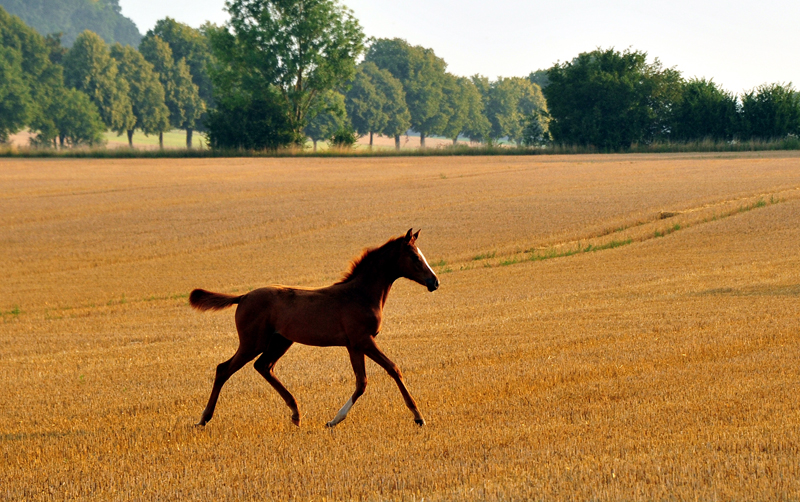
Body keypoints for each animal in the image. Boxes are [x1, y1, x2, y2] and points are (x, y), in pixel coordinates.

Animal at [189, 230, 438, 428]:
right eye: (415, 257)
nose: (434, 282)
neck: (360, 294)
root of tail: (243, 297)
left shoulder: (354, 345)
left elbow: (361, 382)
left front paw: (333, 420)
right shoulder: (363, 340)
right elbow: (392, 369)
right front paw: (419, 416)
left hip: (280, 341)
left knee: (263, 366)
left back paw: (295, 413)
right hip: (252, 342)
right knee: (224, 369)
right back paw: (204, 418)